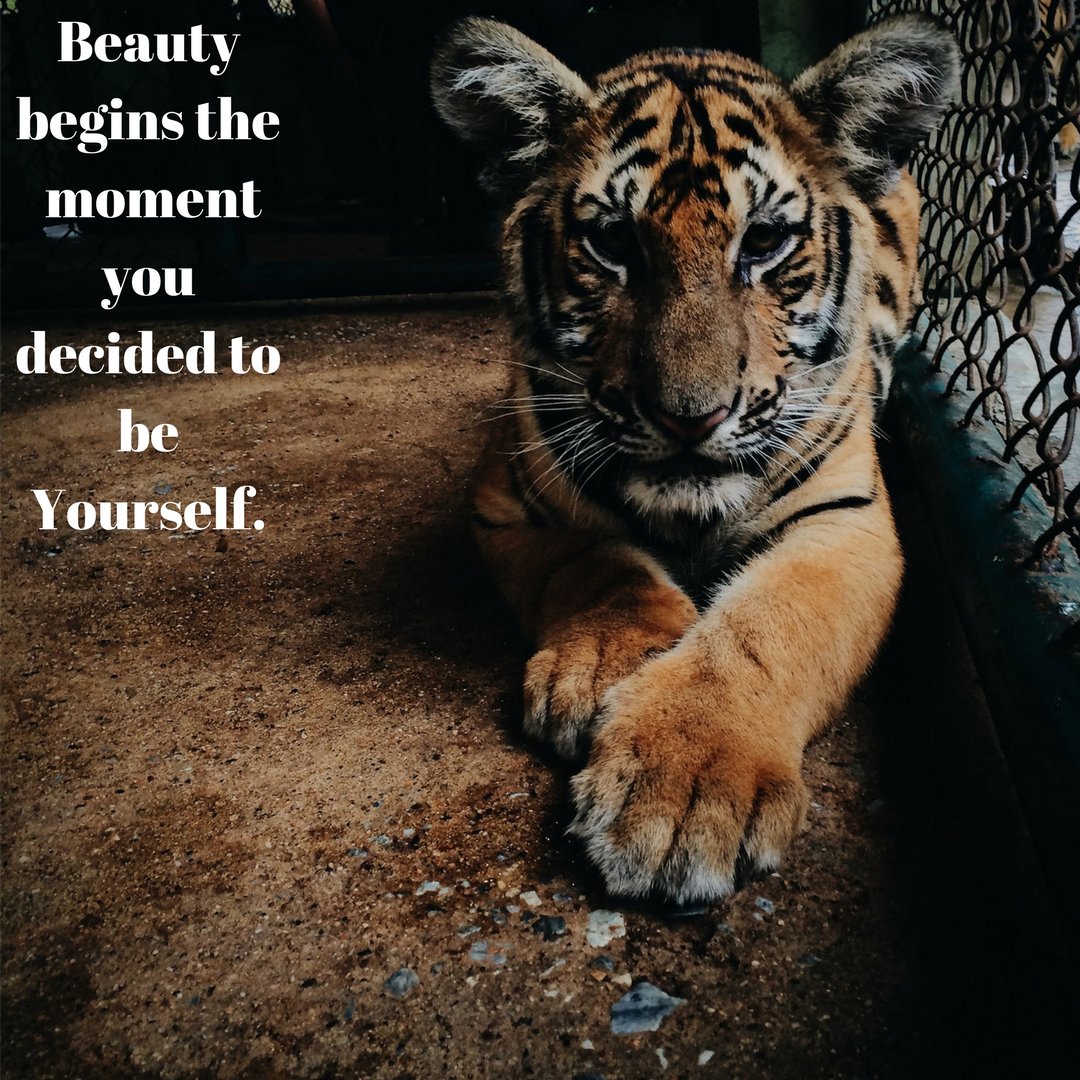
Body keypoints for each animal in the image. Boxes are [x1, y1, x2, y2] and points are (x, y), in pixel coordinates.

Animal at [431, 16, 958, 904]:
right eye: (612, 242)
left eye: (765, 241)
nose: (690, 417)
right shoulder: (505, 496)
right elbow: (597, 562)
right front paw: (613, 666)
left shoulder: (846, 523)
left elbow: (767, 627)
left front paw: (685, 788)